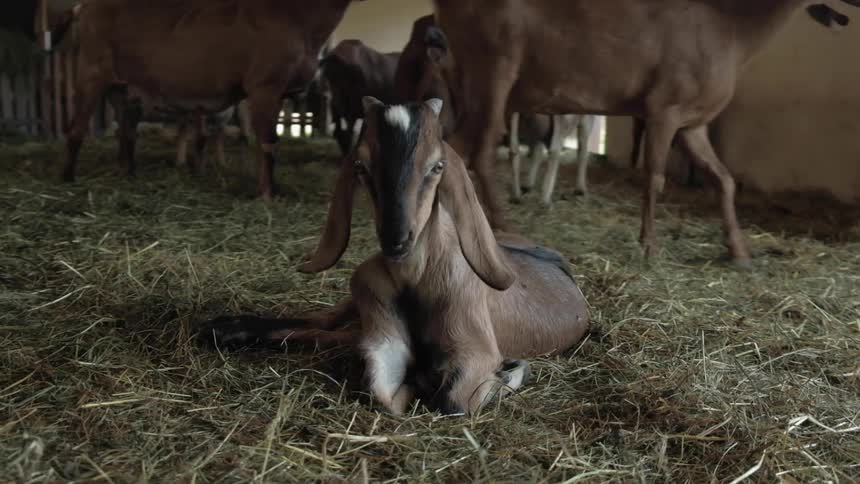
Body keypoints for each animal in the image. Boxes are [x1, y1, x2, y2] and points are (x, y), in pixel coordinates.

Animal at [60, 0, 359, 200]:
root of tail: (83, 7)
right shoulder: (266, 86)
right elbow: (268, 142)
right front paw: (267, 194)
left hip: (124, 89)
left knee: (126, 132)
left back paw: (128, 173)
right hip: (91, 72)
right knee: (76, 129)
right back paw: (67, 178)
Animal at [201, 98, 590, 415]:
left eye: (437, 166)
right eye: (361, 167)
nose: (396, 239)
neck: (415, 280)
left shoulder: (476, 345)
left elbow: (450, 402)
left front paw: (507, 371)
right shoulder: (383, 331)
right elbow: (381, 388)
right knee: (325, 321)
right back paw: (226, 327)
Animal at [431, 0, 859, 266]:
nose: (848, 16)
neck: (732, 30)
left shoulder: (693, 123)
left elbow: (724, 180)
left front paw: (739, 253)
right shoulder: (664, 109)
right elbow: (654, 178)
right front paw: (649, 247)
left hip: (472, 79)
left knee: (454, 148)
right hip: (494, 68)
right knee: (480, 150)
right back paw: (504, 225)